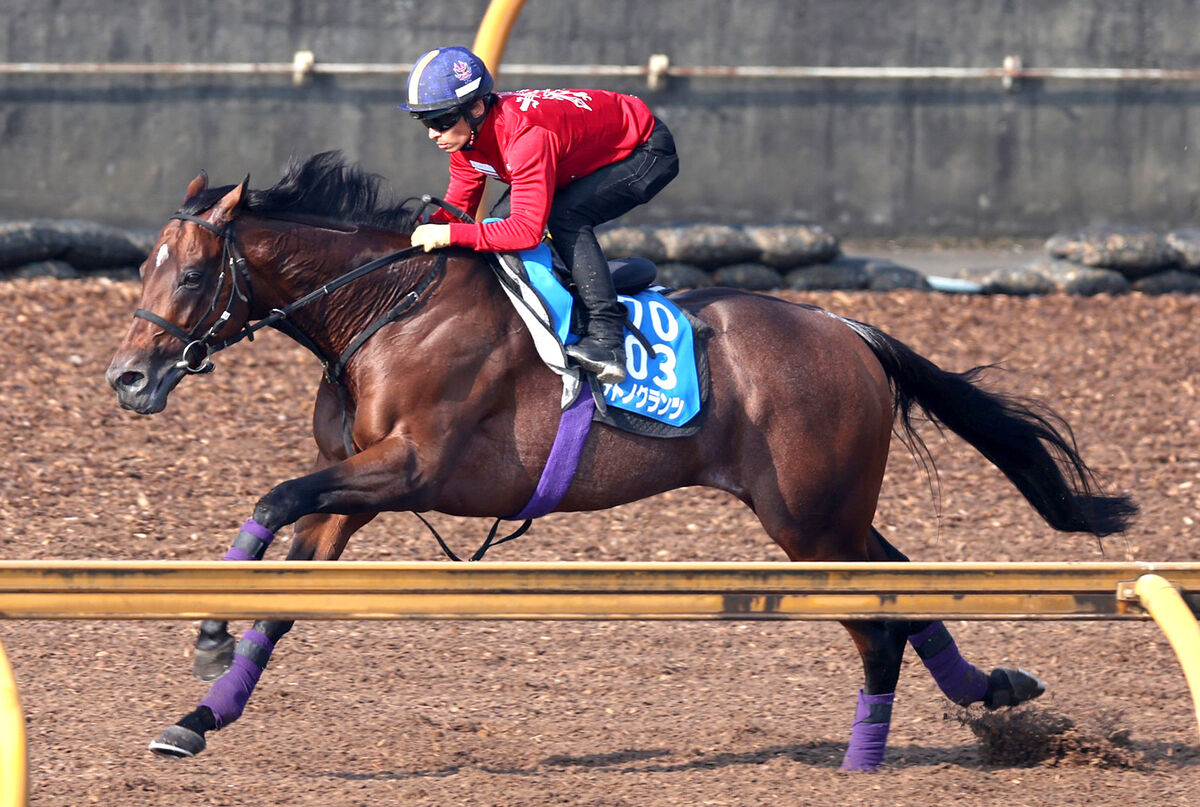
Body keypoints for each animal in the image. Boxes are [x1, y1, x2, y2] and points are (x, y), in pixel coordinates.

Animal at [103, 151, 1132, 768]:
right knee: (902, 583)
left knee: (876, 618)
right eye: (143, 268)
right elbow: (285, 591)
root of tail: (847, 327)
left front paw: (205, 630)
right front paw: (196, 719)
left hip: (808, 518)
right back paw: (992, 689)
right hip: (823, 510)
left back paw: (867, 753)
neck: (387, 309)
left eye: (190, 273)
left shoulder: (411, 467)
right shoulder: (360, 487)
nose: (126, 377)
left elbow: (273, 498)